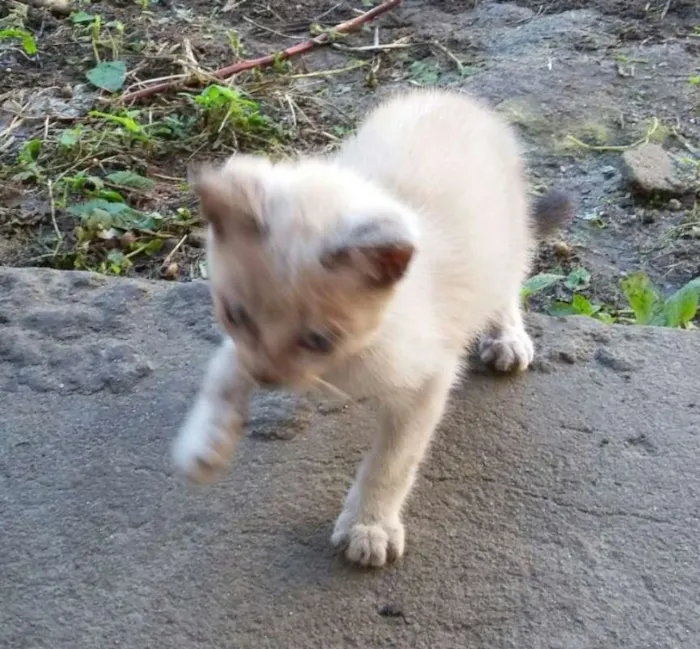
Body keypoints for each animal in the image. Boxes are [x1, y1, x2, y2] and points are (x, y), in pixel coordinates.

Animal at [171, 87, 576, 568]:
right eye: (235, 316)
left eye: (319, 339)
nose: (268, 379)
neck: (347, 361)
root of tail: (457, 98)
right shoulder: (240, 347)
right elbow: (222, 376)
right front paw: (205, 445)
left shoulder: (426, 380)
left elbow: (391, 462)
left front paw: (369, 526)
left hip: (503, 241)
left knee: (510, 279)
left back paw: (507, 338)